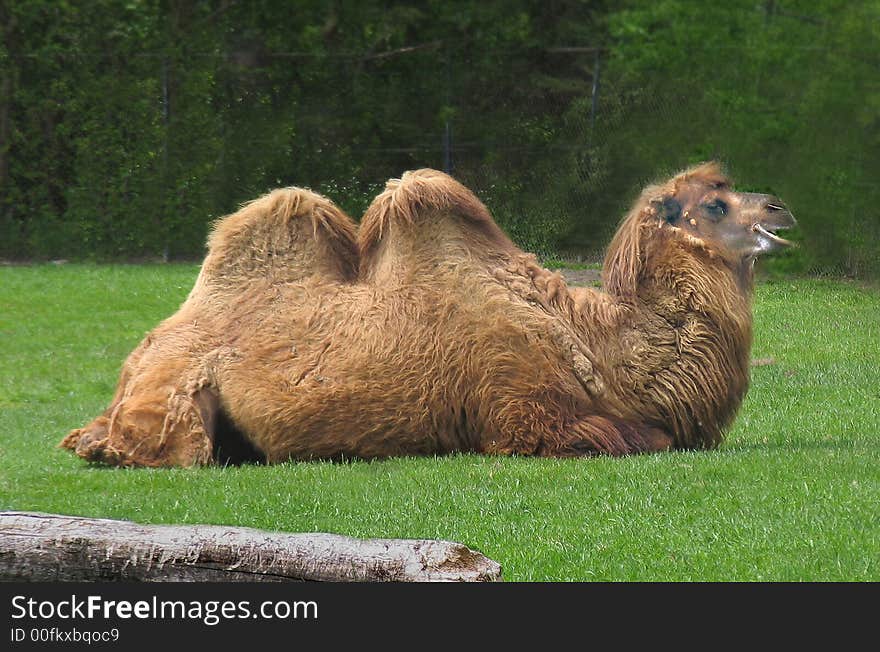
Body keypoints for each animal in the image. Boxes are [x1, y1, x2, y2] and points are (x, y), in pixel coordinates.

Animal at [58, 164, 796, 468]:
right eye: (716, 204)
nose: (780, 207)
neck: (600, 347)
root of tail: (141, 353)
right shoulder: (524, 414)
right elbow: (645, 439)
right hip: (176, 399)